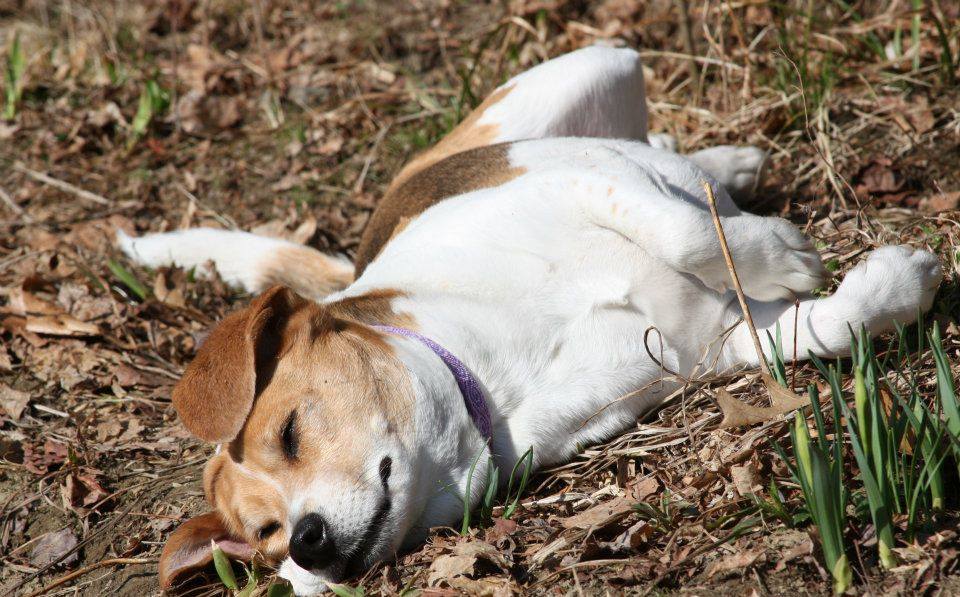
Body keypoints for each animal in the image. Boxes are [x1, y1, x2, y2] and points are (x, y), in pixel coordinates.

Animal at [116, 45, 940, 592]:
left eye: (288, 433)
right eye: (265, 538)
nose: (308, 546)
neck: (495, 373)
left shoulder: (570, 178)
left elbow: (690, 233)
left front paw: (787, 252)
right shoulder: (712, 345)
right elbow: (822, 328)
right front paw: (891, 287)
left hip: (588, 72)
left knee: (652, 156)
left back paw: (720, 165)